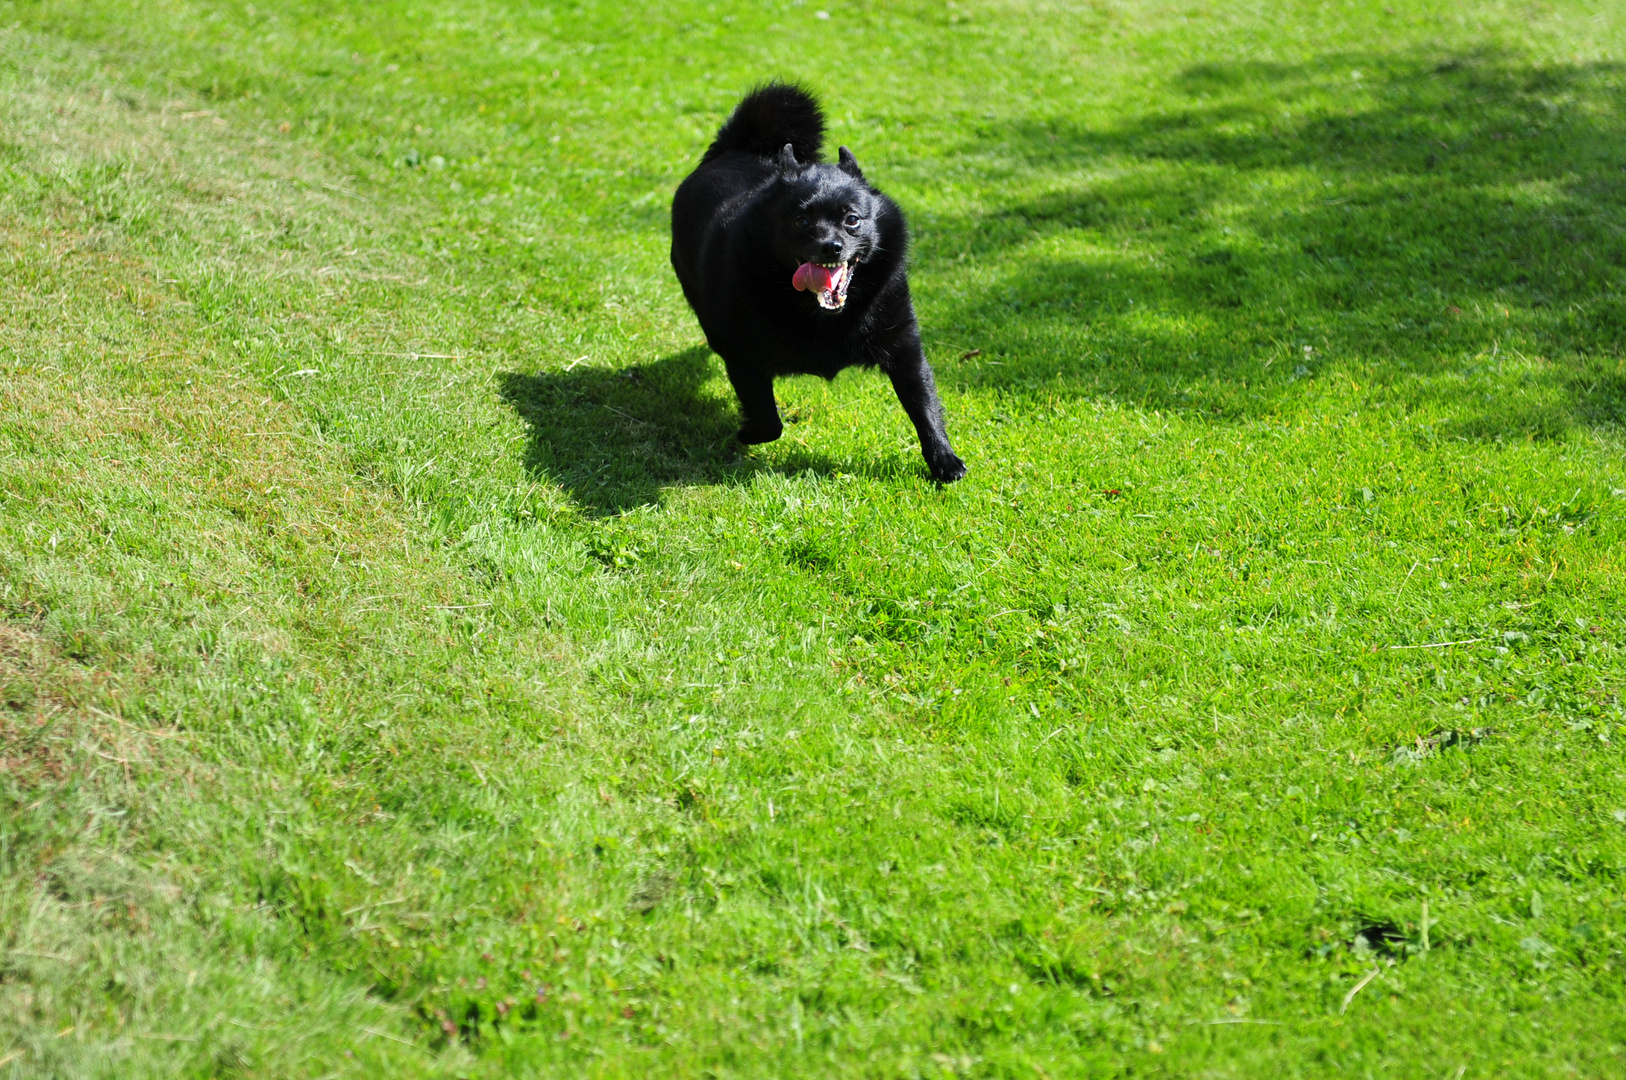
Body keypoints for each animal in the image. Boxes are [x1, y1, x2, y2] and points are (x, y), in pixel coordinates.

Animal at [663, 86, 956, 481]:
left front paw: (944, 461)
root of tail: (737, 148)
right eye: (801, 221)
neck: (818, 314)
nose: (830, 246)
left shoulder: (903, 345)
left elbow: (924, 403)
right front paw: (746, 432)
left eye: (852, 219)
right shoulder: (742, 356)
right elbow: (768, 421)